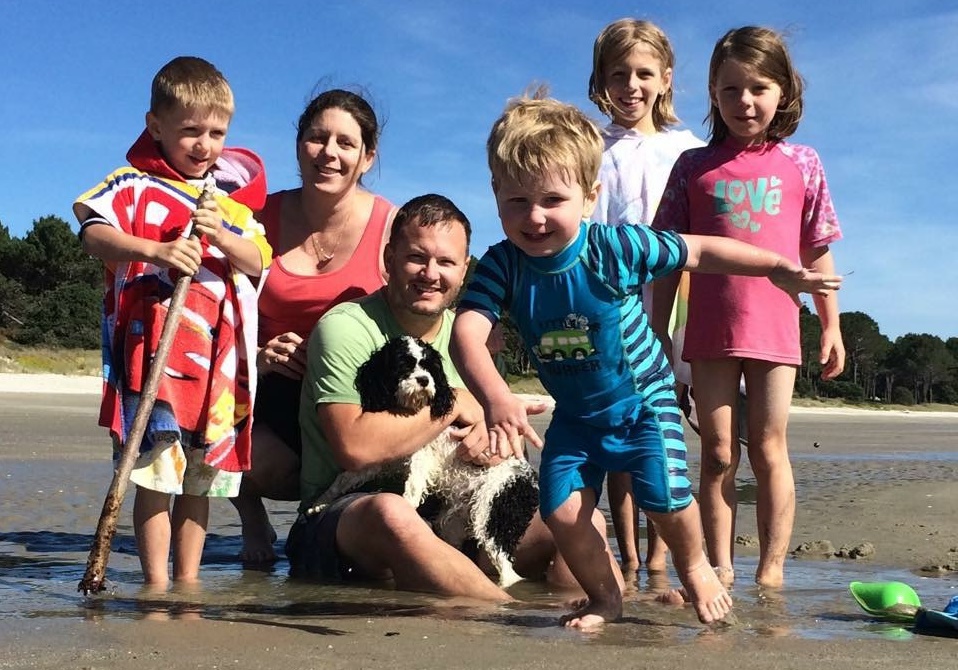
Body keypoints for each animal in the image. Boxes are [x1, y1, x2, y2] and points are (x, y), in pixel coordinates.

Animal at [306, 336, 540, 588]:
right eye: (403, 365)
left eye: (429, 367)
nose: (424, 380)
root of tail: (532, 484)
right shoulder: (381, 458)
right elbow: (344, 478)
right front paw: (320, 502)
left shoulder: (423, 455)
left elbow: (413, 486)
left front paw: (407, 505)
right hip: (455, 523)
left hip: (492, 512)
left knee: (508, 571)